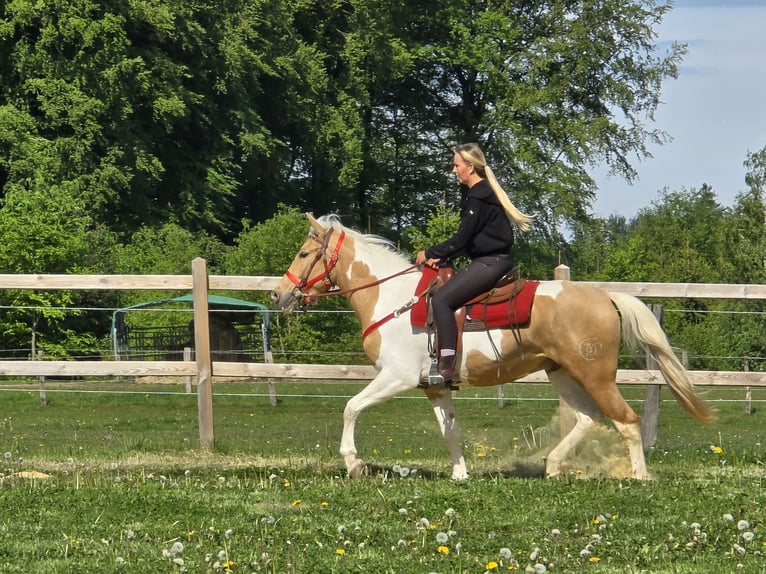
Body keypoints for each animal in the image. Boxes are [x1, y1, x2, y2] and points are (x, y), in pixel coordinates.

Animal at [271, 213, 714, 480]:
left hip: (596, 376)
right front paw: (460, 474)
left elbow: (350, 408)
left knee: (626, 420)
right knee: (588, 418)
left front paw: (353, 462)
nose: (279, 295)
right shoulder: (434, 387)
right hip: (562, 373)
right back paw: (553, 466)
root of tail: (606, 297)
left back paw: (639, 477)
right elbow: (450, 432)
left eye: (305, 252)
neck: (394, 298)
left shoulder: (397, 377)